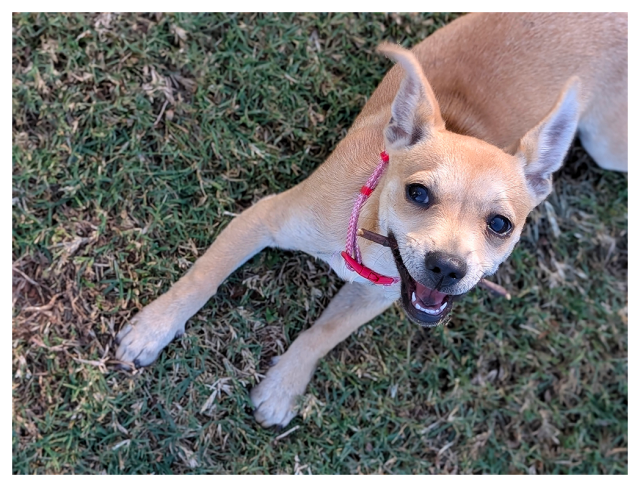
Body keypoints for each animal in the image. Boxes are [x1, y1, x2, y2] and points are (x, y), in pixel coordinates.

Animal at [114, 12, 624, 428]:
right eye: (417, 193)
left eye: (501, 225)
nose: (446, 268)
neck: (368, 234)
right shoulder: (263, 218)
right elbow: (202, 278)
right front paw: (154, 328)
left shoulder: (373, 295)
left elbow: (325, 333)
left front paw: (284, 386)